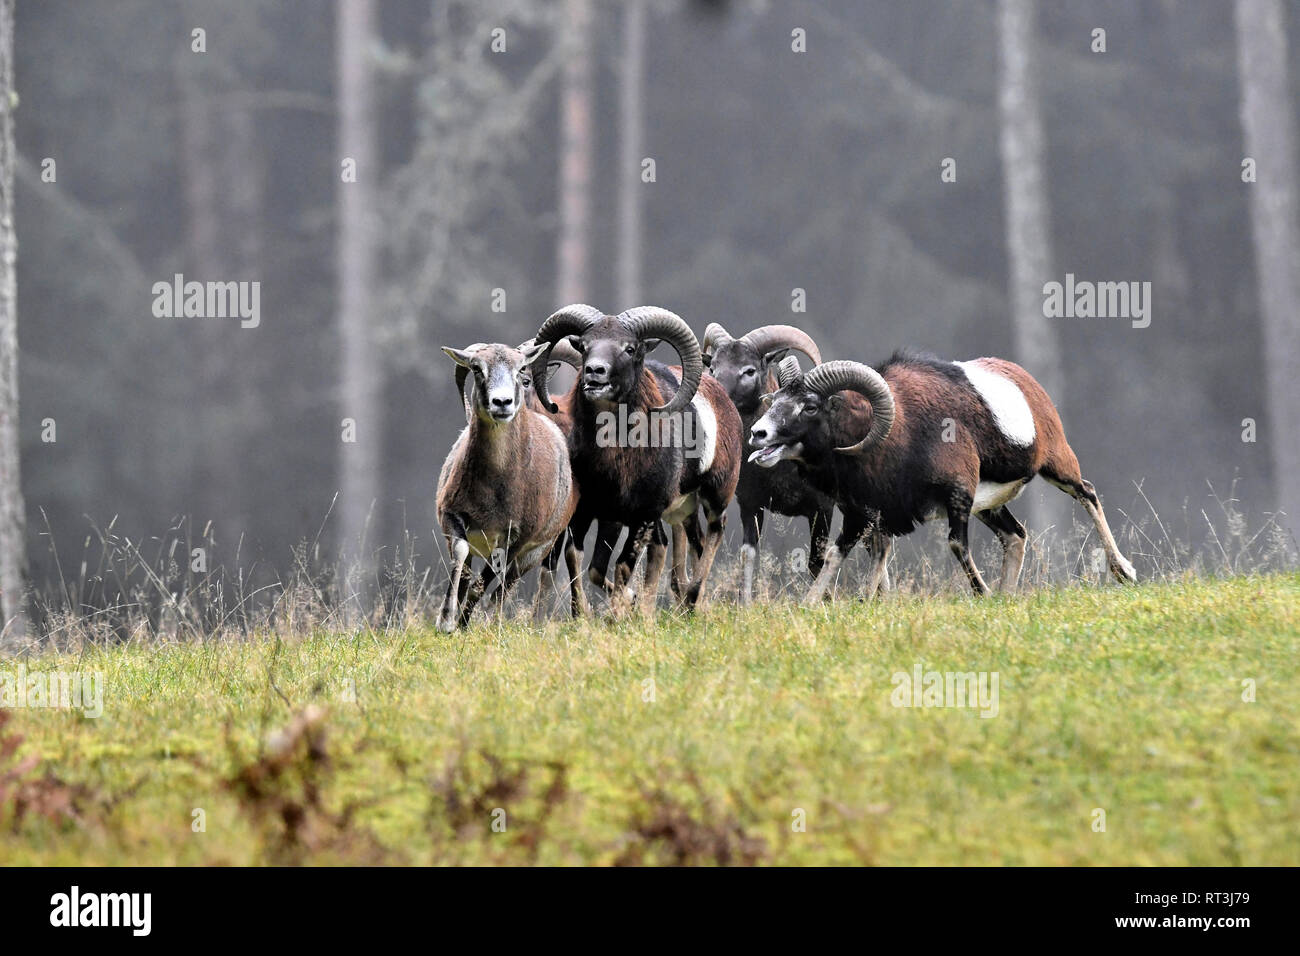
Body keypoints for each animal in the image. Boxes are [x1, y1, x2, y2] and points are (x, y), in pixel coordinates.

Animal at [436, 340, 582, 631]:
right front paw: (446, 622)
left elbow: (483, 585)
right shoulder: (453, 516)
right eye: (477, 369)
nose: (502, 403)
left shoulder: (518, 538)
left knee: (504, 586)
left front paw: (461, 625)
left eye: (520, 370)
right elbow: (461, 560)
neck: (494, 486)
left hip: (535, 553)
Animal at [532, 304, 742, 613]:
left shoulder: (642, 517)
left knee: (714, 531)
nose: (595, 372)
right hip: (680, 510)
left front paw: (619, 614)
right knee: (685, 543)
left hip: (715, 495)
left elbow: (622, 566)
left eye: (629, 348)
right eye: (584, 346)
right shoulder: (595, 513)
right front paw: (587, 613)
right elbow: (583, 562)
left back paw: (691, 598)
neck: (615, 462)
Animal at [702, 322, 840, 603]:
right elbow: (748, 554)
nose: (717, 393)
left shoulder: (822, 510)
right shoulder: (750, 506)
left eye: (749, 370)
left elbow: (817, 562)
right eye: (713, 367)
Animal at [748, 352, 1137, 602]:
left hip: (1056, 467)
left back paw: (1124, 572)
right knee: (1016, 537)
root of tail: (1027, 383)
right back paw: (1007, 596)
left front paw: (982, 594)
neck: (901, 433)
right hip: (990, 506)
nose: (758, 434)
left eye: (810, 407)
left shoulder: (957, 494)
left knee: (1087, 493)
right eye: (776, 399)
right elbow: (843, 555)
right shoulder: (863, 515)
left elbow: (955, 544)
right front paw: (818, 605)